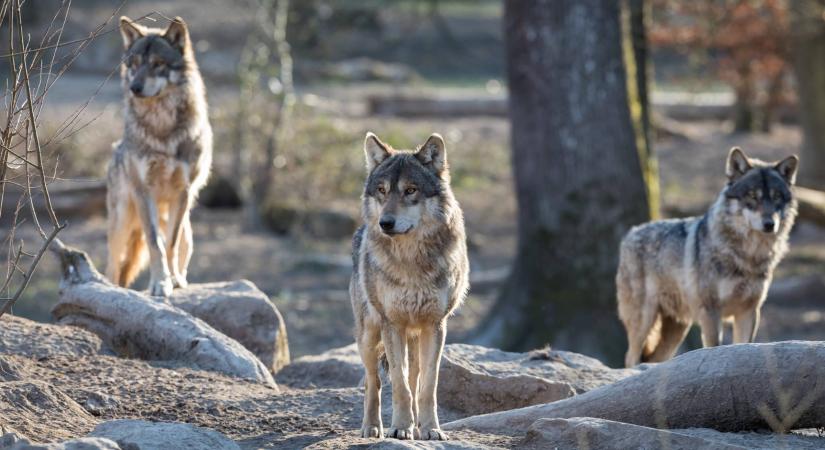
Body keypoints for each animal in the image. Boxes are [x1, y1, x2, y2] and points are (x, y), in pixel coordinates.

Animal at [104, 15, 212, 298]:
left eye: (157, 64)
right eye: (134, 64)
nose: (135, 88)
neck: (161, 127)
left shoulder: (183, 191)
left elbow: (169, 244)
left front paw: (171, 280)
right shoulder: (144, 191)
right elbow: (156, 243)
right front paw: (159, 283)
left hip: (187, 230)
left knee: (180, 245)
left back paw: (180, 277)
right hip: (121, 222)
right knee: (112, 266)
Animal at [350, 132, 470, 442]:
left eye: (410, 190)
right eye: (382, 190)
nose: (385, 223)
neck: (411, 262)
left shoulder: (435, 326)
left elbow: (426, 386)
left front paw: (430, 429)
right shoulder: (392, 324)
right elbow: (399, 384)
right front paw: (400, 428)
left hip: (414, 336)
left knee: (414, 378)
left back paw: (416, 425)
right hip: (369, 335)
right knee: (373, 381)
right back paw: (372, 427)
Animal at [616, 149, 800, 370]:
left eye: (777, 197)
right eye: (752, 196)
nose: (769, 224)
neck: (748, 256)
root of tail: (630, 233)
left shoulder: (749, 311)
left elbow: (743, 345)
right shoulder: (711, 310)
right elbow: (714, 347)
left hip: (677, 330)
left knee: (653, 359)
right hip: (644, 320)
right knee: (630, 357)